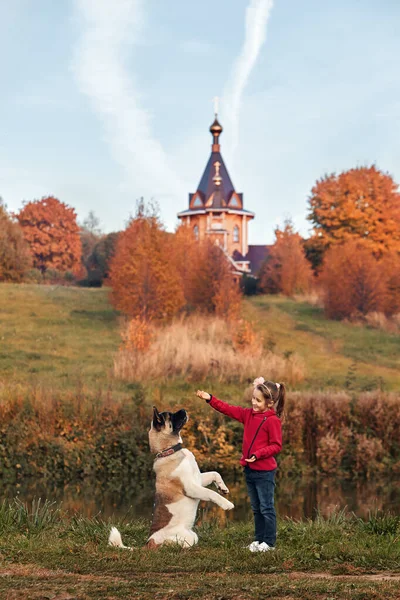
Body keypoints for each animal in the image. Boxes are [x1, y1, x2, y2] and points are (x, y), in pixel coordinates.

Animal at [109, 406, 234, 552]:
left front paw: (222, 487)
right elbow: (211, 493)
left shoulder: (197, 479)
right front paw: (226, 504)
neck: (170, 451)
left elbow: (215, 473)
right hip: (184, 538)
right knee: (173, 544)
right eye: (170, 415)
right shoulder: (191, 488)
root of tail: (149, 543)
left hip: (193, 536)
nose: (184, 409)